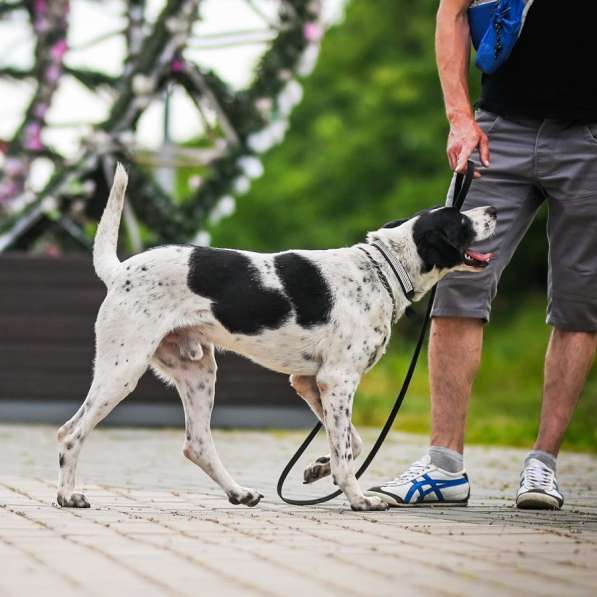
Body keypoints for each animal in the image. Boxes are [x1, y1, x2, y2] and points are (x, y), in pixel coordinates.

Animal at [56, 165, 496, 510]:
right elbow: (346, 451)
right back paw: (69, 495)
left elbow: (350, 441)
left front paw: (319, 467)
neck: (382, 270)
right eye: (460, 222)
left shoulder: (310, 382)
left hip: (198, 372)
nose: (492, 209)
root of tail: (119, 271)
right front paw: (356, 497)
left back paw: (239, 493)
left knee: (197, 443)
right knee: (70, 432)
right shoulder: (337, 381)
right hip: (123, 371)